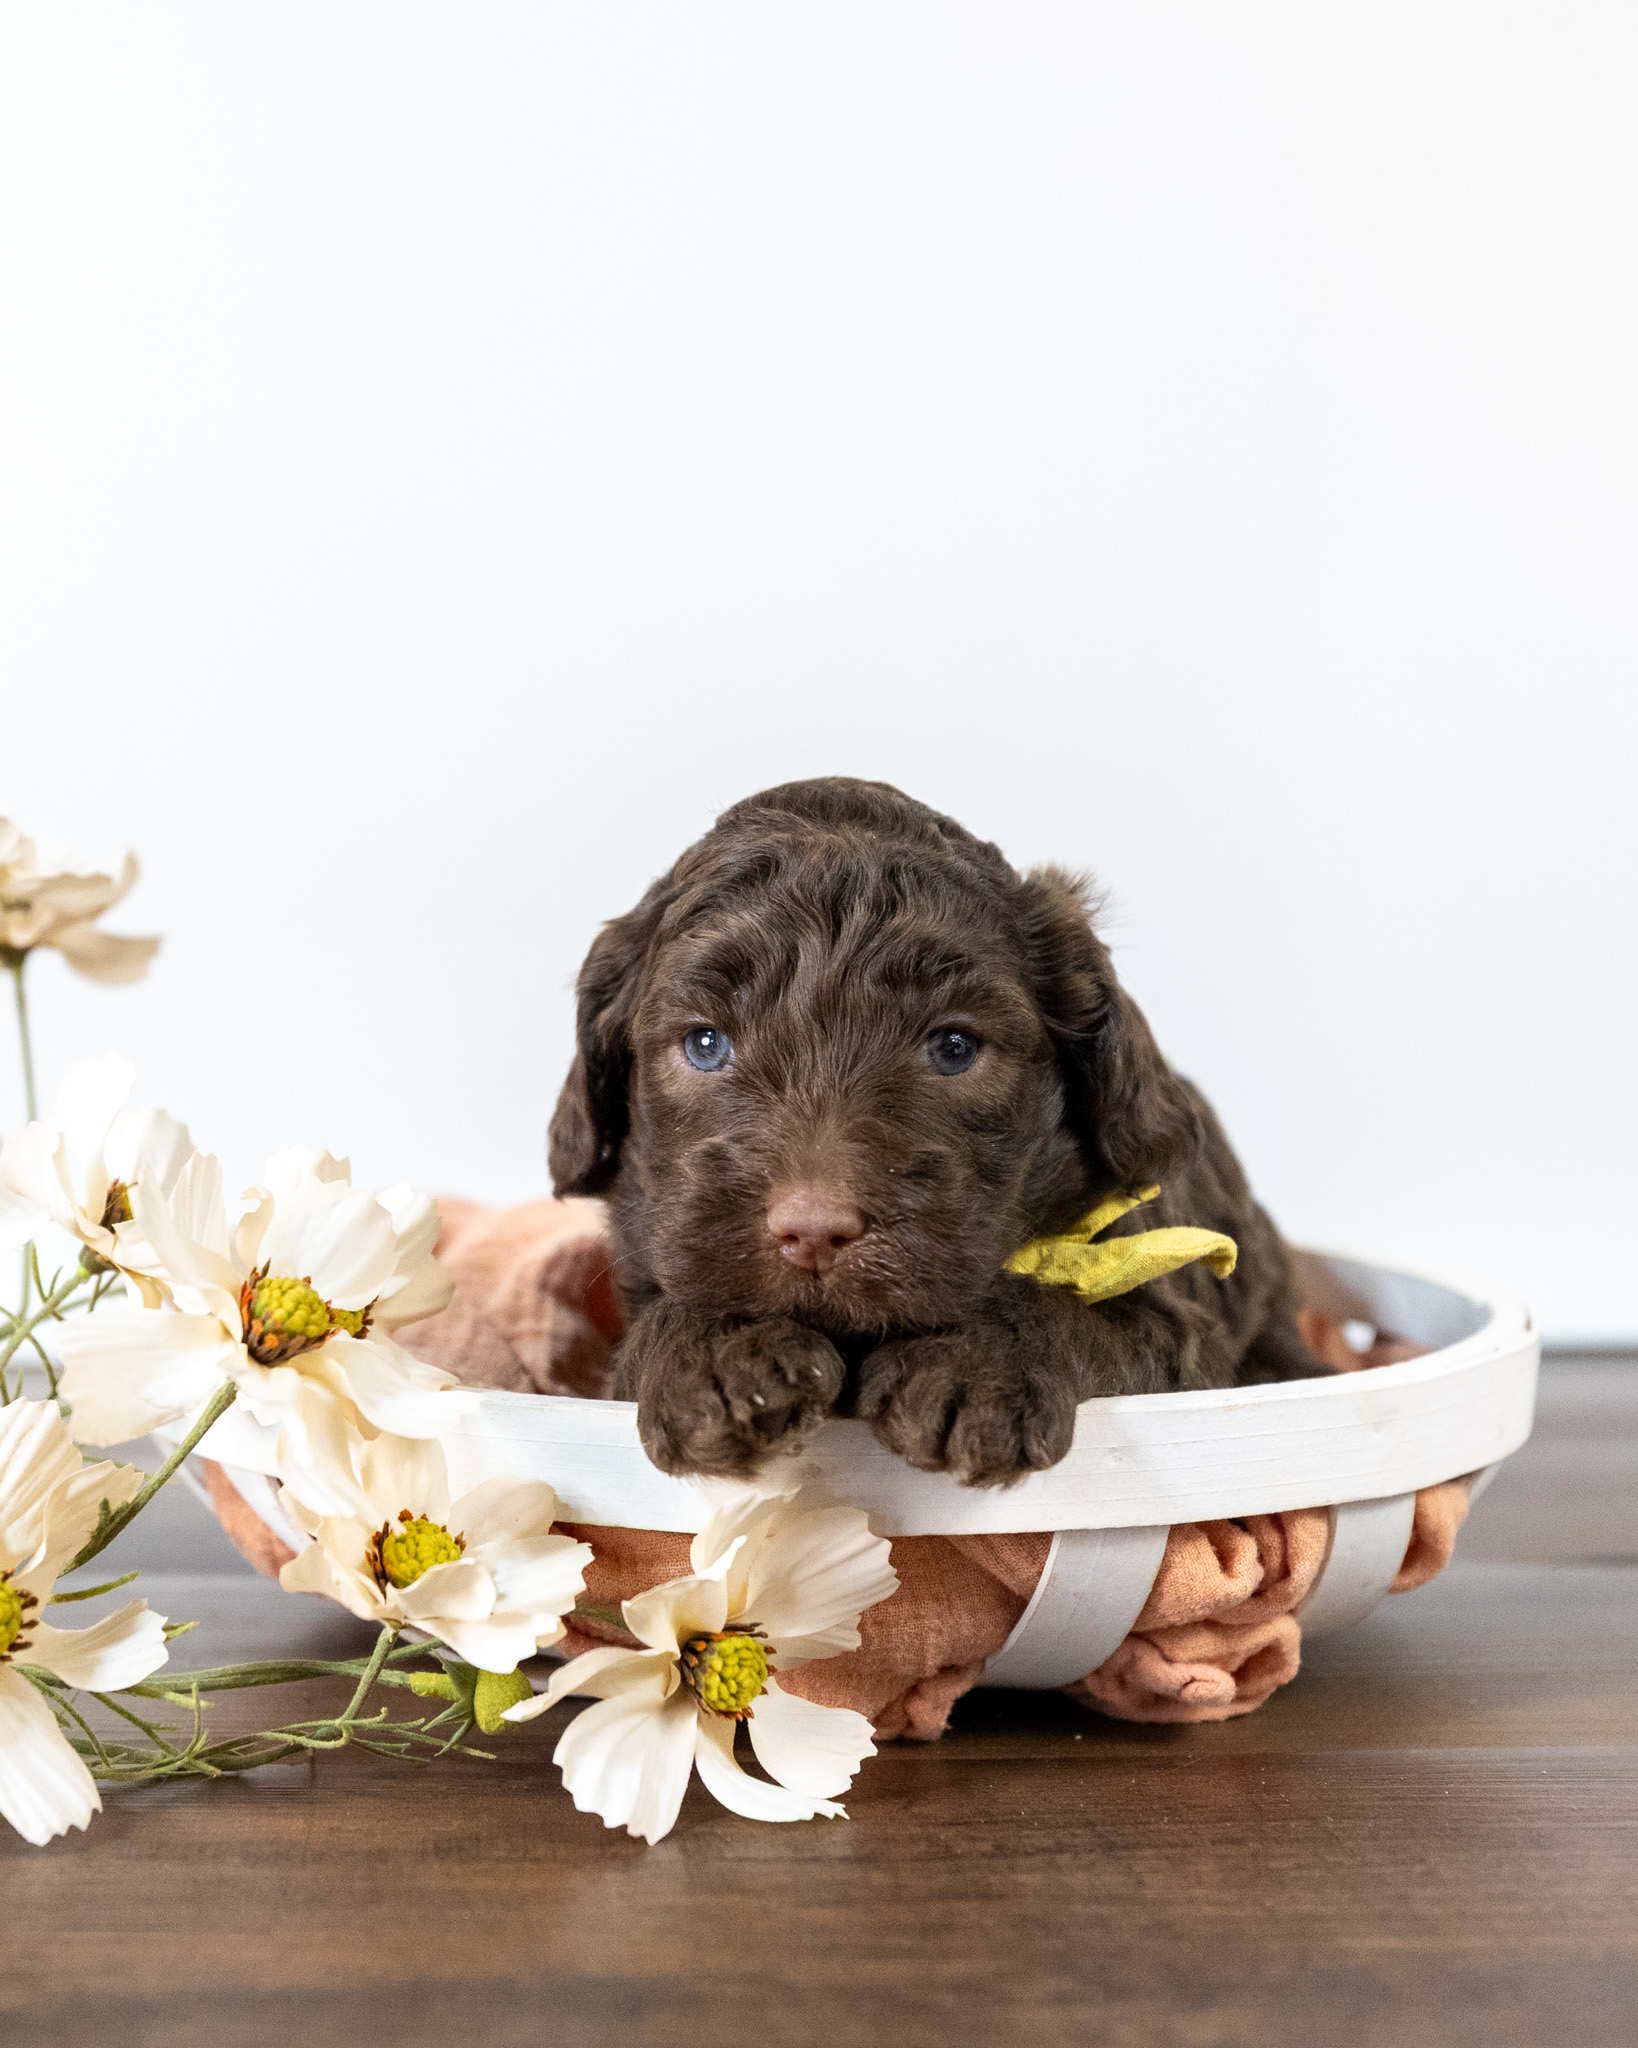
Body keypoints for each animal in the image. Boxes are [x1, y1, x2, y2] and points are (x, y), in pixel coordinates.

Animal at [549, 777, 1327, 1484]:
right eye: (705, 1045)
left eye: (954, 1048)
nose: (814, 1231)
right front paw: (719, 1352)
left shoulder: (1179, 1317)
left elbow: (1096, 1315)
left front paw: (975, 1362)